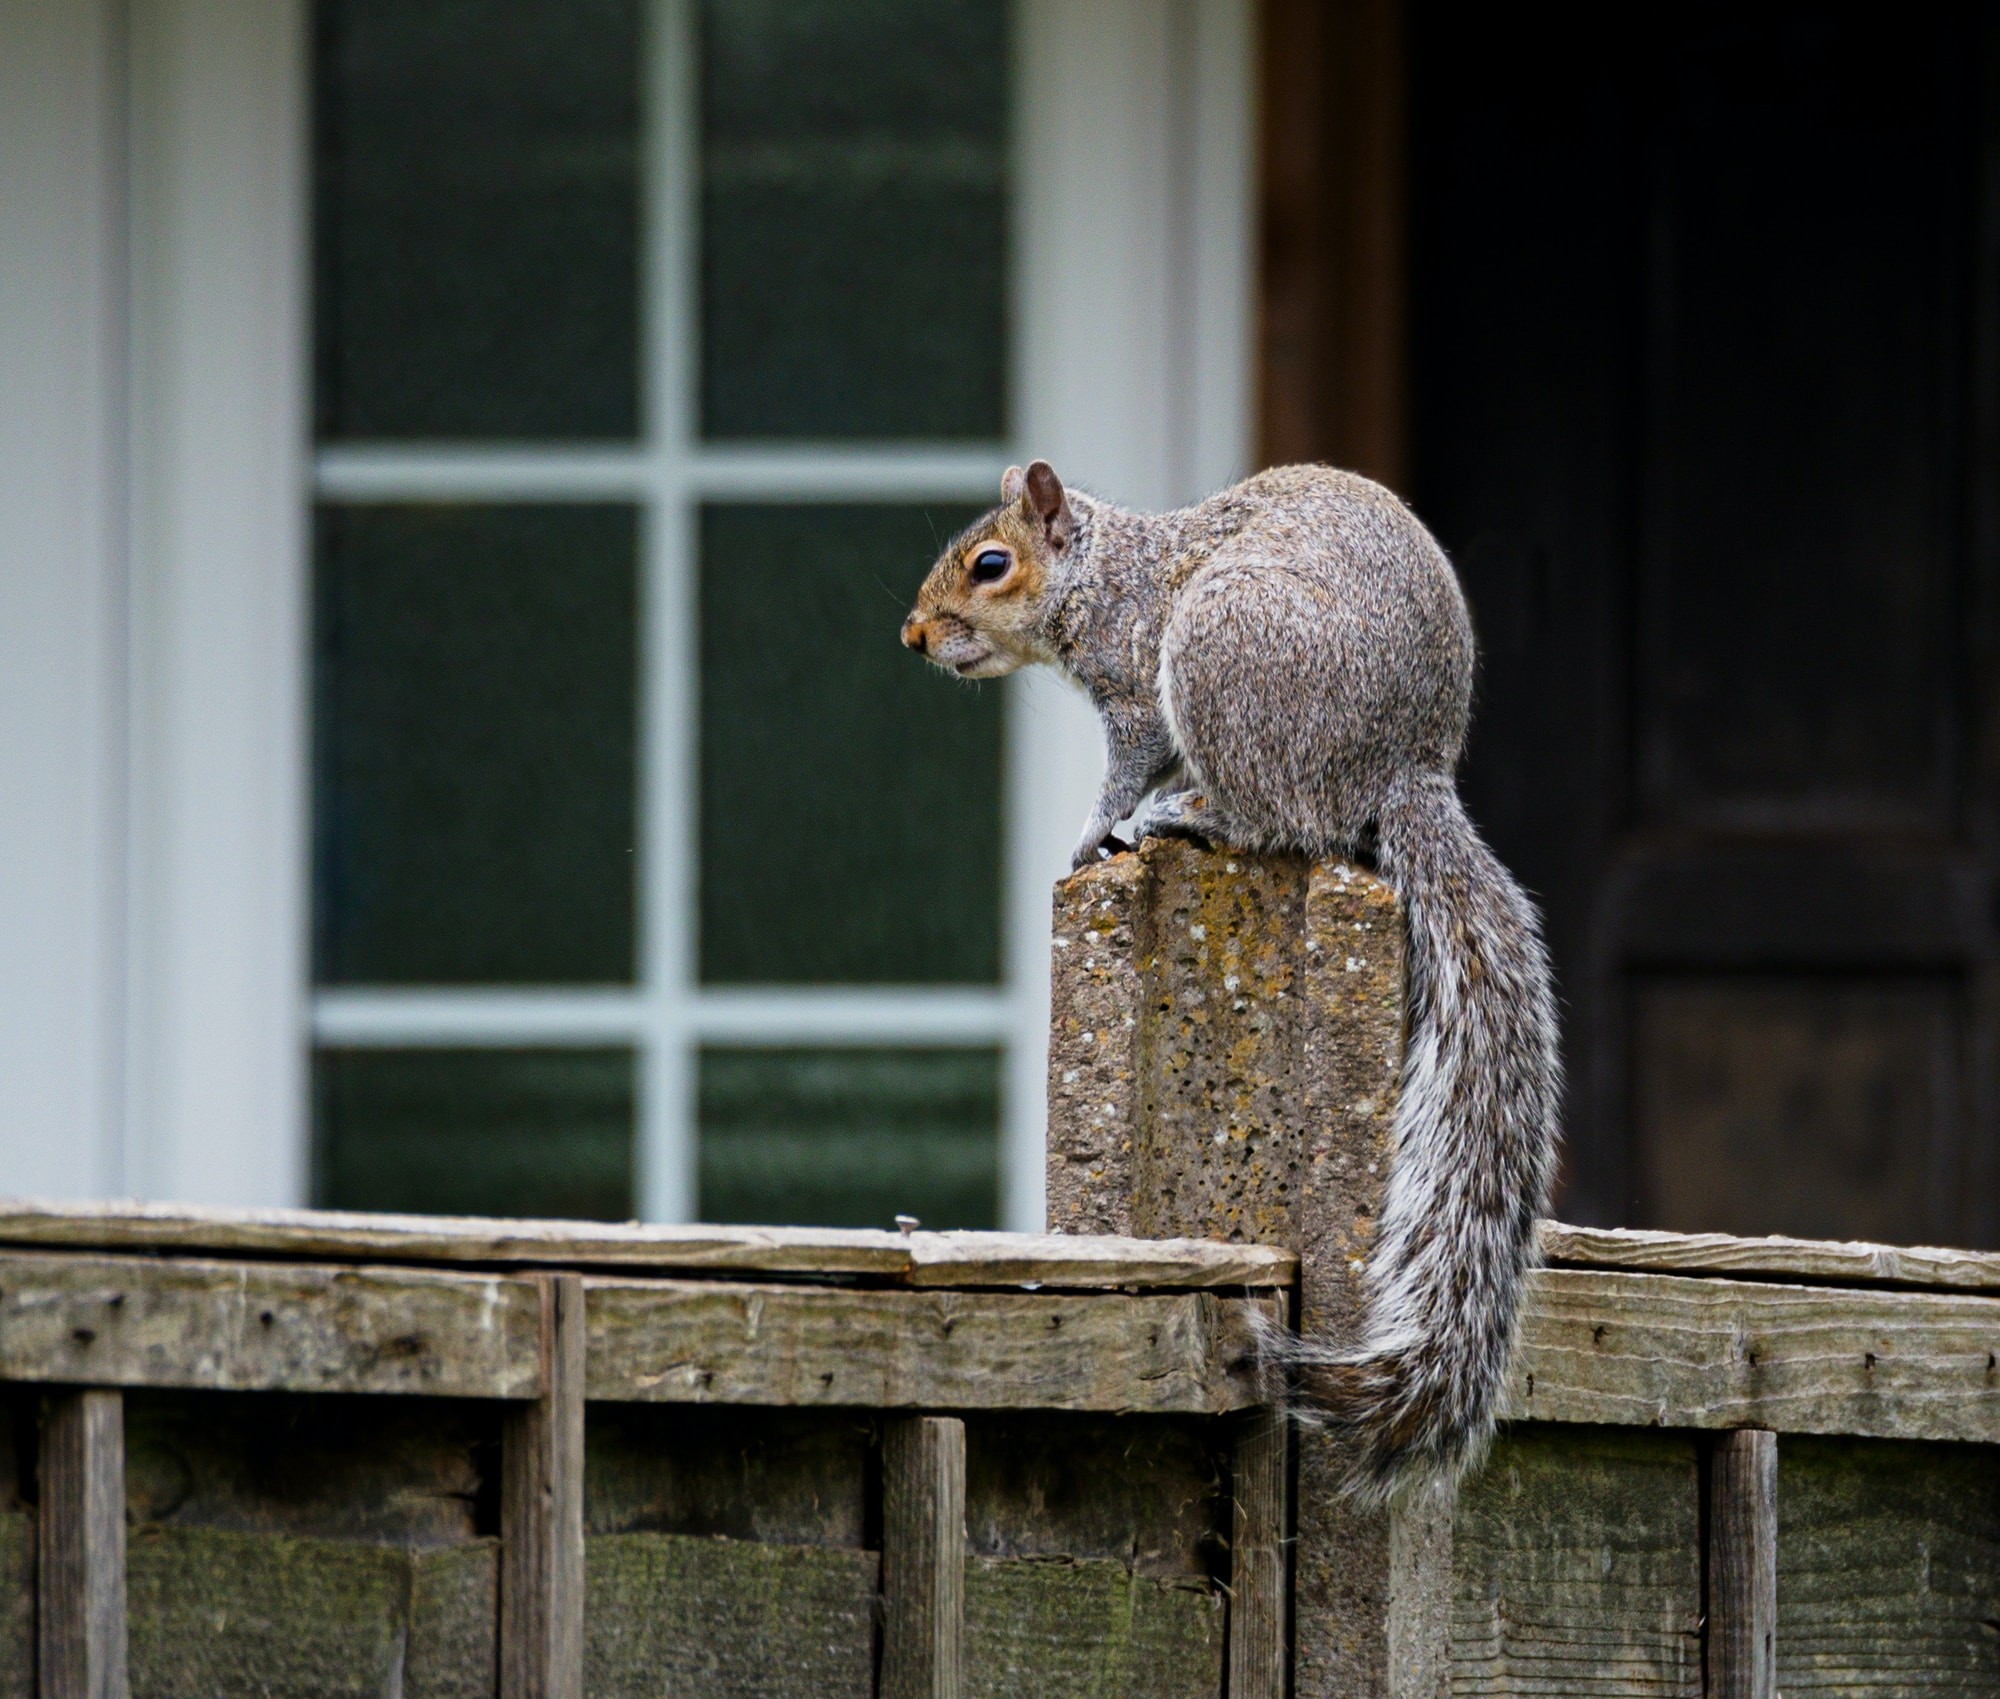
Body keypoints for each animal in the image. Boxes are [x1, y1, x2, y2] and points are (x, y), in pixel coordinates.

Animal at [904, 457, 1560, 1487]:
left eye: (990, 565)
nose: (915, 633)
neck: (1109, 572)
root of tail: (1402, 770)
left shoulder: (1138, 686)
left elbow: (1126, 768)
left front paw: (1094, 831)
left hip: (1225, 656)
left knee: (1278, 819)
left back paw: (1193, 815)